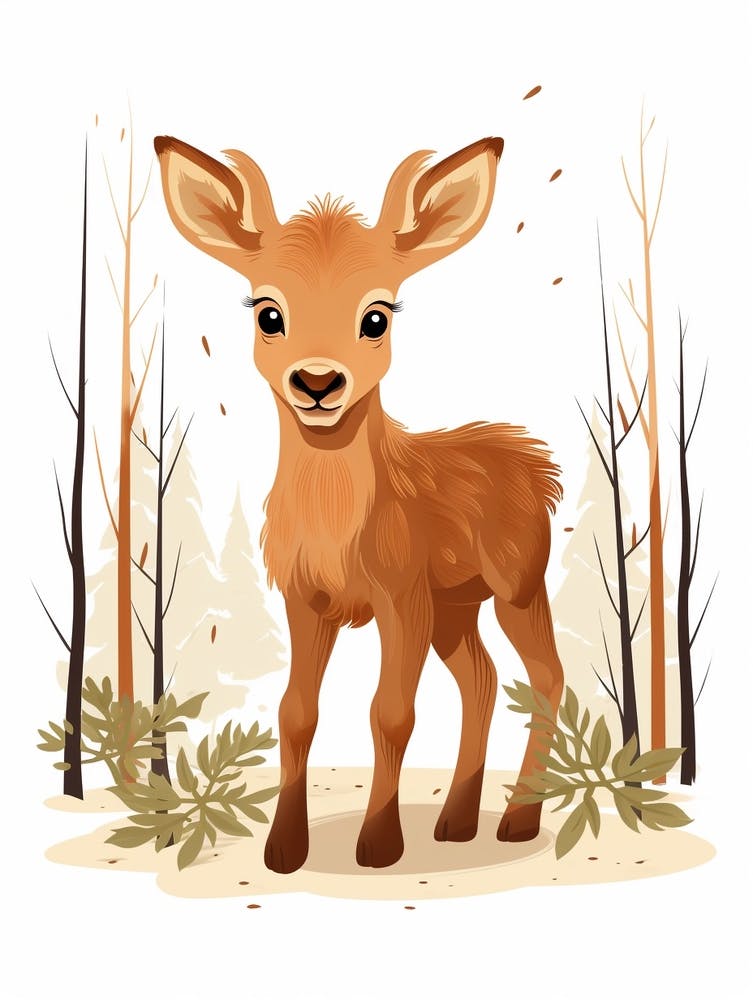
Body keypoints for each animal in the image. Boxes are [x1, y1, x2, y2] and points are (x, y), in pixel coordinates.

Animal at [154, 134, 564, 873]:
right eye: (269, 312)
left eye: (376, 316)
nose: (318, 381)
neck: (335, 527)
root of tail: (536, 463)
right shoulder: (302, 597)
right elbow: (296, 713)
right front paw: (283, 850)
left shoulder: (399, 595)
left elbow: (390, 711)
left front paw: (378, 844)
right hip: (455, 606)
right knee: (483, 679)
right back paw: (457, 821)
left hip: (517, 583)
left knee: (546, 676)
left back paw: (517, 820)